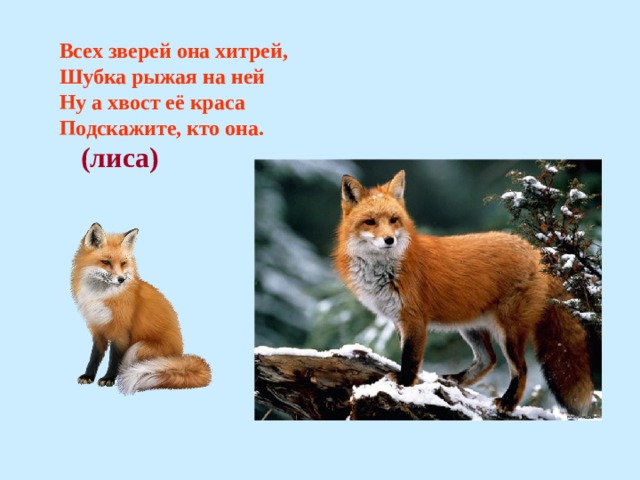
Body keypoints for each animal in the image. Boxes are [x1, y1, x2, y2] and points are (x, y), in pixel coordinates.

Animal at [72, 223, 211, 395]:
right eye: (105, 262)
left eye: (123, 263)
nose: (121, 279)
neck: (102, 296)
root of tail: (179, 355)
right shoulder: (98, 329)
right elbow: (94, 356)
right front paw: (88, 376)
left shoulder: (121, 332)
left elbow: (114, 359)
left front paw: (109, 378)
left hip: (137, 348)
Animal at [334, 170, 593, 416]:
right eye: (370, 222)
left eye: (393, 220)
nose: (389, 240)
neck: (386, 270)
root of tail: (536, 251)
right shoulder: (399, 320)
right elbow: (408, 357)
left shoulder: (414, 319)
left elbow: (410, 360)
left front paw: (404, 387)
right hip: (470, 326)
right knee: (488, 360)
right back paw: (456, 381)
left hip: (509, 331)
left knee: (521, 368)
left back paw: (508, 403)